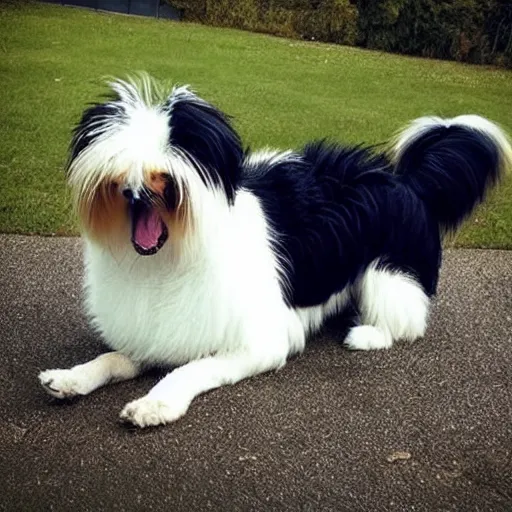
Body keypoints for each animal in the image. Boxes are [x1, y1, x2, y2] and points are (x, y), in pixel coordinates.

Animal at [37, 76, 512, 426]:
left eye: (167, 172)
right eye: (117, 169)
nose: (133, 192)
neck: (174, 255)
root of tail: (404, 178)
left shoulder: (259, 343)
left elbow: (191, 369)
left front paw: (157, 403)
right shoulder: (160, 330)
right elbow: (112, 358)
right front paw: (71, 377)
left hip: (388, 275)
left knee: (407, 323)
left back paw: (366, 334)